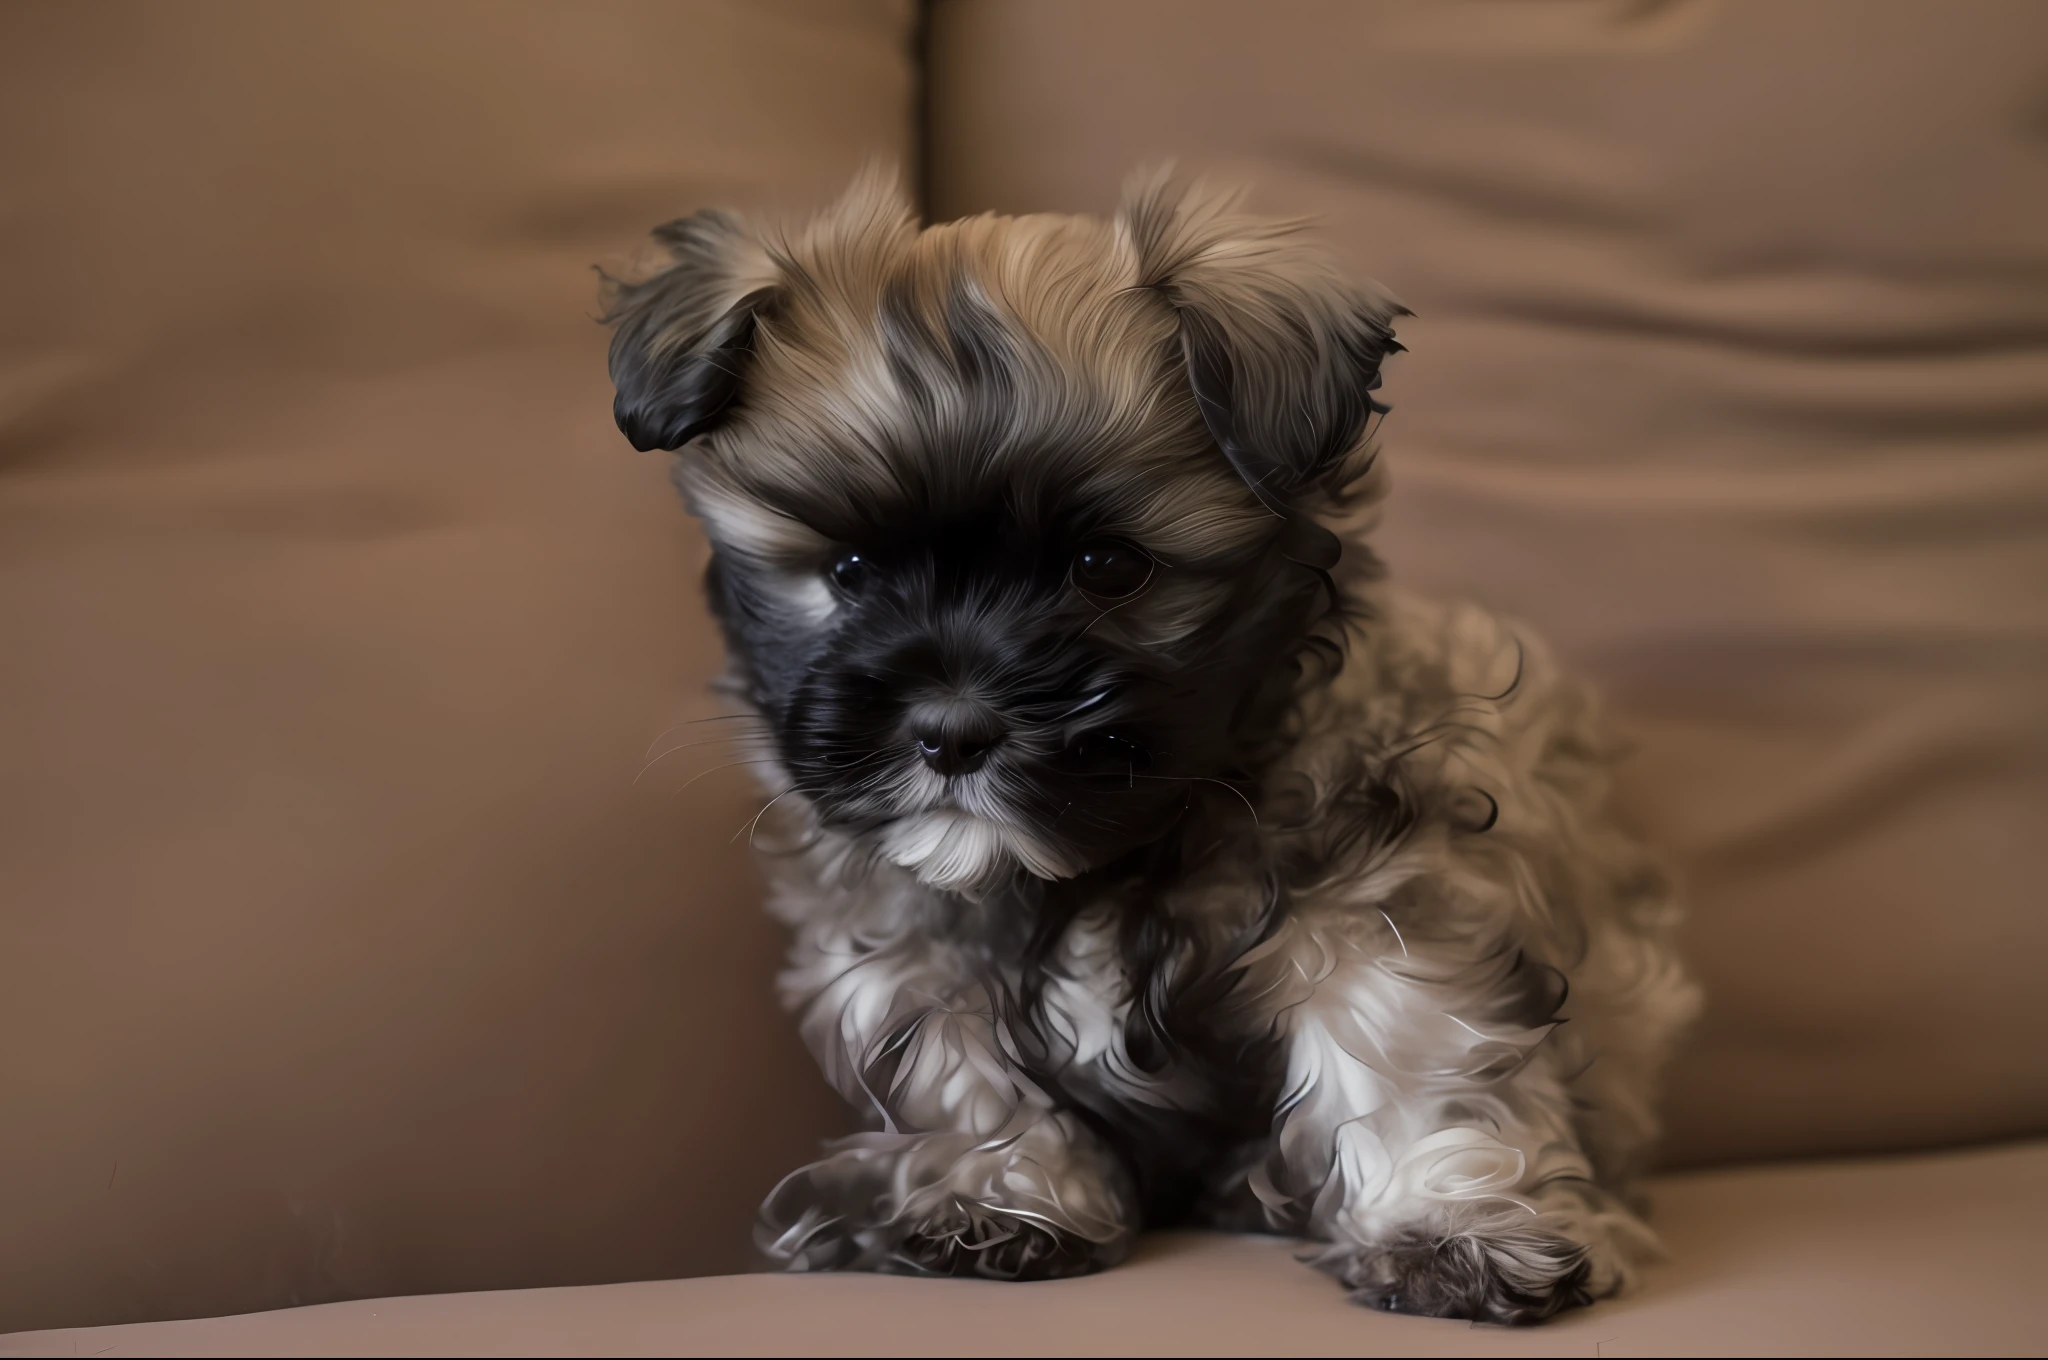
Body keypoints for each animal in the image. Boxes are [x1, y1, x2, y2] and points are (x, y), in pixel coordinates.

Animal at [602, 164, 1695, 1319]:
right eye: (850, 570)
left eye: (1108, 565)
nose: (950, 732)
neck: (1108, 855)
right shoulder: (914, 941)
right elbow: (965, 1067)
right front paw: (996, 1196)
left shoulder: (1380, 870)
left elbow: (1404, 1039)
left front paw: (1445, 1224)